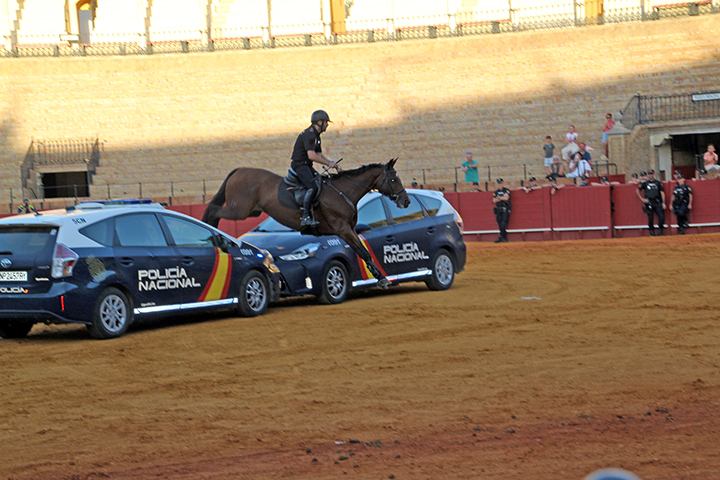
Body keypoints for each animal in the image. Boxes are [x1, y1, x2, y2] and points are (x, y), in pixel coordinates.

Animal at [202, 158, 410, 288]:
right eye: (393, 179)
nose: (406, 201)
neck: (343, 192)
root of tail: (239, 170)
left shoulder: (349, 229)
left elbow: (360, 251)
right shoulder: (343, 229)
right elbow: (363, 252)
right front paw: (381, 278)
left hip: (251, 211)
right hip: (240, 210)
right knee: (213, 210)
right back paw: (212, 235)